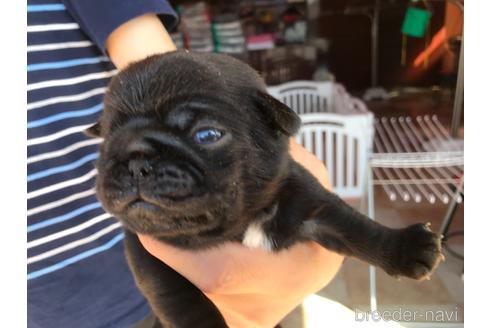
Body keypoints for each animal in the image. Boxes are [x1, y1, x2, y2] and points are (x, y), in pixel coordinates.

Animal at [86, 51, 444, 328]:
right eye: (106, 143)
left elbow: (357, 229)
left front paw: (405, 246)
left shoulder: (309, 203)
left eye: (207, 135)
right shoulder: (154, 264)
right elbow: (187, 307)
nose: (136, 162)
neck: (236, 226)